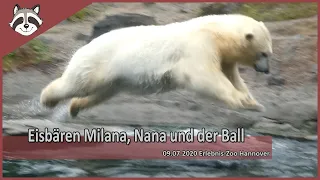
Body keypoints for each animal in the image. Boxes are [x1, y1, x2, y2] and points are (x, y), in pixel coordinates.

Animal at [40, 14, 272, 118]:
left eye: (269, 54)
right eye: (263, 53)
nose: (266, 70)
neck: (217, 32)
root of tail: (86, 46)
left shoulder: (224, 56)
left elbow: (233, 77)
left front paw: (254, 103)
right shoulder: (199, 46)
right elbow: (205, 77)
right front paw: (241, 100)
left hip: (114, 78)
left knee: (102, 93)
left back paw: (75, 107)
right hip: (98, 62)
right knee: (78, 83)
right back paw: (47, 99)